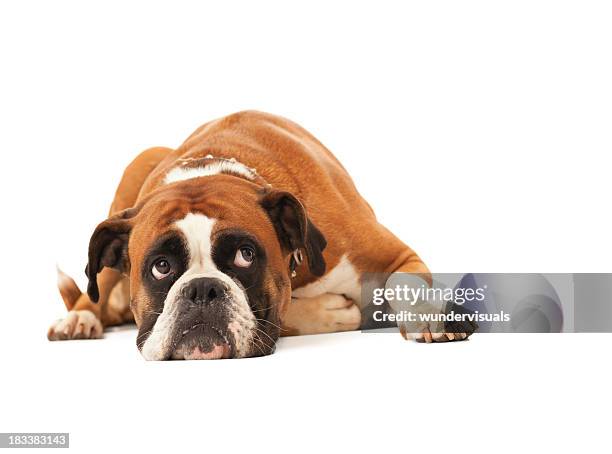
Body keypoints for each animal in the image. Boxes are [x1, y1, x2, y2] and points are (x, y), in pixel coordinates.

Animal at [49, 110, 478, 358]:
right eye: (161, 267)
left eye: (246, 255)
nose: (201, 290)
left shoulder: (395, 258)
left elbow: (404, 284)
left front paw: (431, 316)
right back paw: (79, 319)